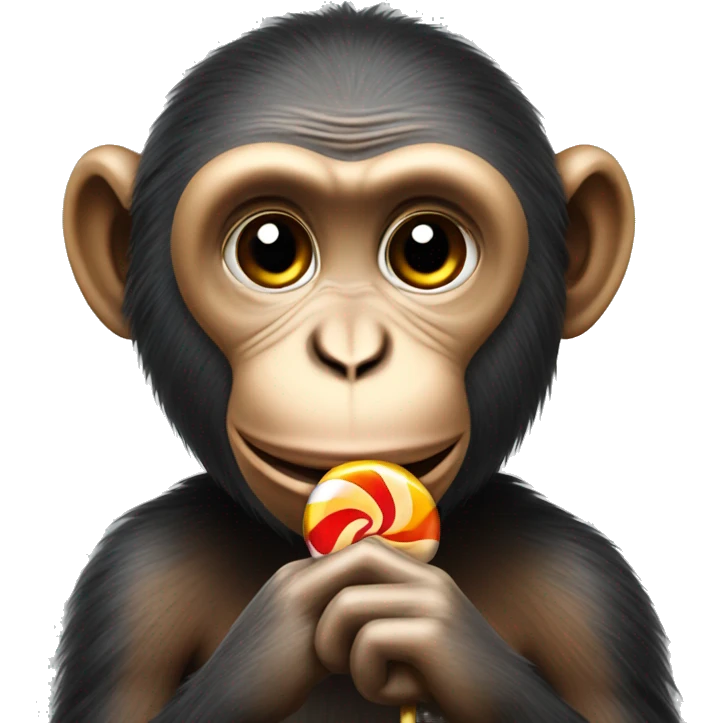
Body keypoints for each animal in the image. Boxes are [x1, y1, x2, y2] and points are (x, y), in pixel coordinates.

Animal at [56, 6, 677, 723]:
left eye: (427, 249)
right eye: (269, 248)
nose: (350, 351)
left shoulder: (587, 585)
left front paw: (436, 634)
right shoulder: (132, 582)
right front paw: (279, 633)